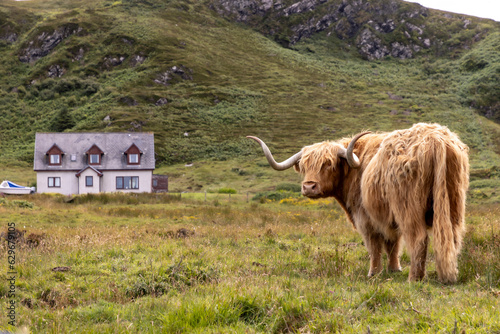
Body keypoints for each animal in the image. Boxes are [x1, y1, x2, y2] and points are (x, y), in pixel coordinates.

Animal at [249, 122, 468, 282]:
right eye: (304, 165)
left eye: (328, 164)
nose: (309, 187)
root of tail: (435, 139)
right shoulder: (388, 217)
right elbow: (393, 244)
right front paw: (394, 269)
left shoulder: (365, 217)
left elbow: (374, 246)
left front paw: (374, 272)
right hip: (453, 203)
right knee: (452, 237)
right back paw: (448, 274)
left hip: (408, 207)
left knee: (419, 238)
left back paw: (415, 278)